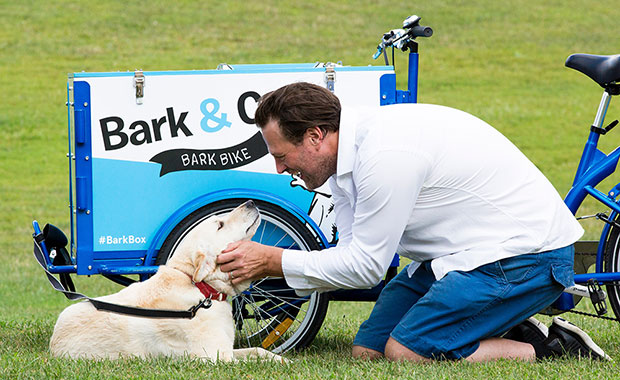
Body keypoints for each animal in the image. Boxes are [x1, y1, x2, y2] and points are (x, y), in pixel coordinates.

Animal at [50, 200, 284, 360]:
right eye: (220, 224)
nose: (251, 202)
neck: (201, 289)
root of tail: (53, 344)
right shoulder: (215, 357)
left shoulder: (229, 350)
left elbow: (259, 351)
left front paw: (282, 361)